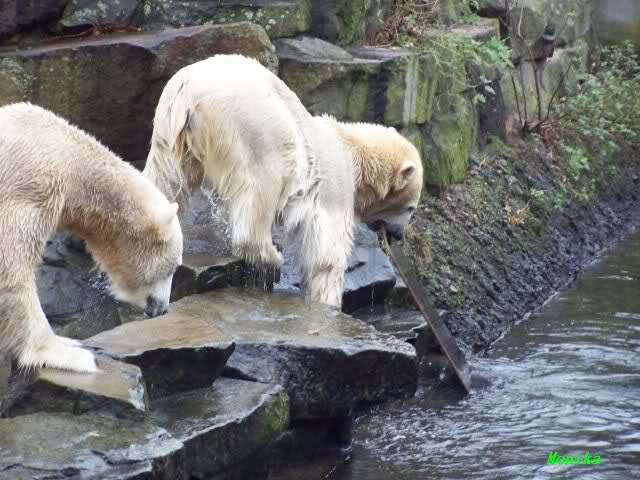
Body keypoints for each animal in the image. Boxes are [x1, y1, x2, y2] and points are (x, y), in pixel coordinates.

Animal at [144, 55, 422, 308]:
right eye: (410, 208)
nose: (398, 236)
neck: (352, 151)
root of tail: (187, 87)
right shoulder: (336, 184)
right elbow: (328, 250)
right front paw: (327, 301)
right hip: (251, 128)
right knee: (261, 187)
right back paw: (271, 255)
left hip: (169, 129)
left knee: (165, 179)